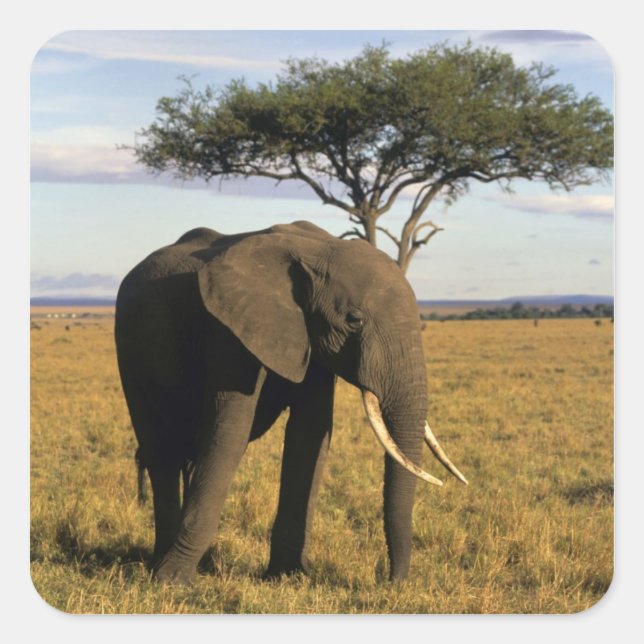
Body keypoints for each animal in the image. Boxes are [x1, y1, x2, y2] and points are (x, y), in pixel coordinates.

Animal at [115, 220, 466, 584]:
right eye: (354, 320)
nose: (391, 580)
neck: (317, 250)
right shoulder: (229, 329)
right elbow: (229, 432)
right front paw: (173, 581)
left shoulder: (310, 338)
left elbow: (310, 433)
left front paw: (290, 575)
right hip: (128, 348)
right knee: (161, 451)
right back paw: (163, 564)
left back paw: (200, 563)